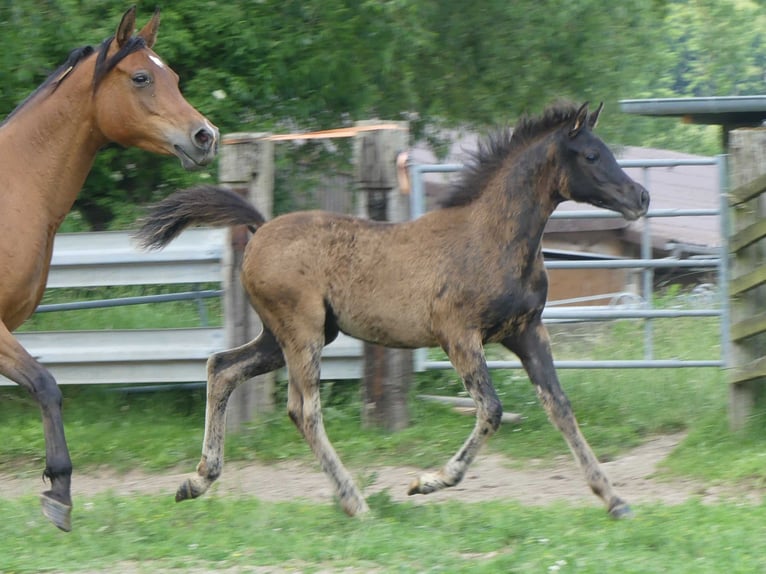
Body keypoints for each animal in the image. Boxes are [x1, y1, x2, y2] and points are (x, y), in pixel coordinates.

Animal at [0, 7, 219, 531]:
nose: (205, 136)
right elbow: (46, 384)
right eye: (141, 77)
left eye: (174, 77)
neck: (12, 188)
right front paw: (59, 492)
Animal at [136, 101, 649, 519]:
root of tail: (259, 229)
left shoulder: (527, 332)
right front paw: (427, 482)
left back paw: (197, 481)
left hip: (286, 335)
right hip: (301, 332)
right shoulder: (458, 334)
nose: (640, 197)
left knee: (222, 367)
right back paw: (355, 502)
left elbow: (559, 405)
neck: (494, 239)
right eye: (591, 155)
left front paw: (615, 499)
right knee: (303, 409)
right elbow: (491, 409)